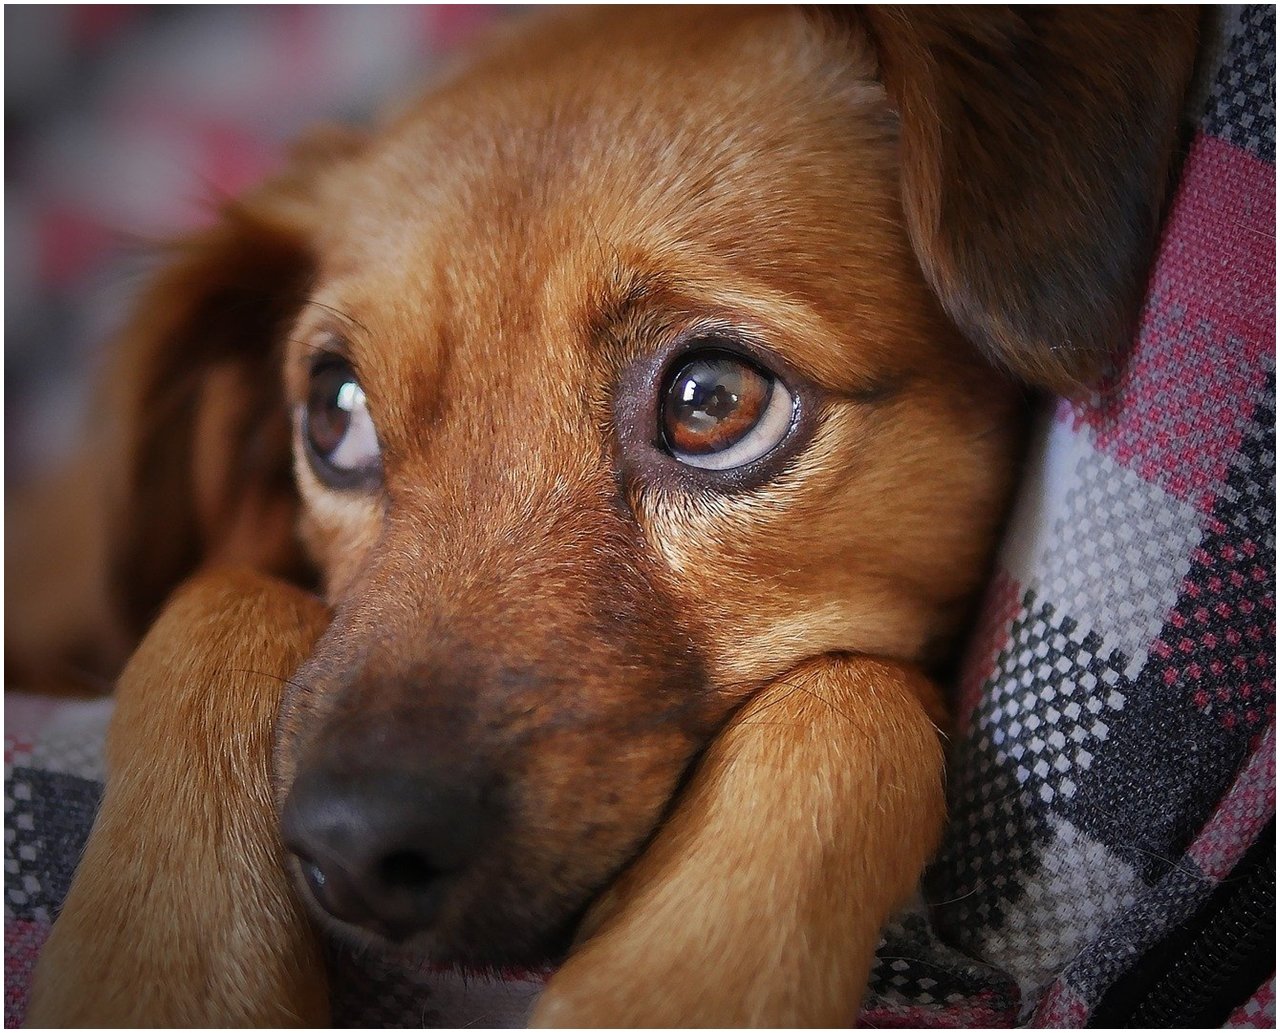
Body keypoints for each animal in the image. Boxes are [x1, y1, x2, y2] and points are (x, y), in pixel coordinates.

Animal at [20, 6, 1198, 1024]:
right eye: (333, 412)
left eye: (711, 401)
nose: (353, 850)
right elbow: (217, 596)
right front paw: (159, 970)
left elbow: (851, 695)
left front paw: (670, 982)